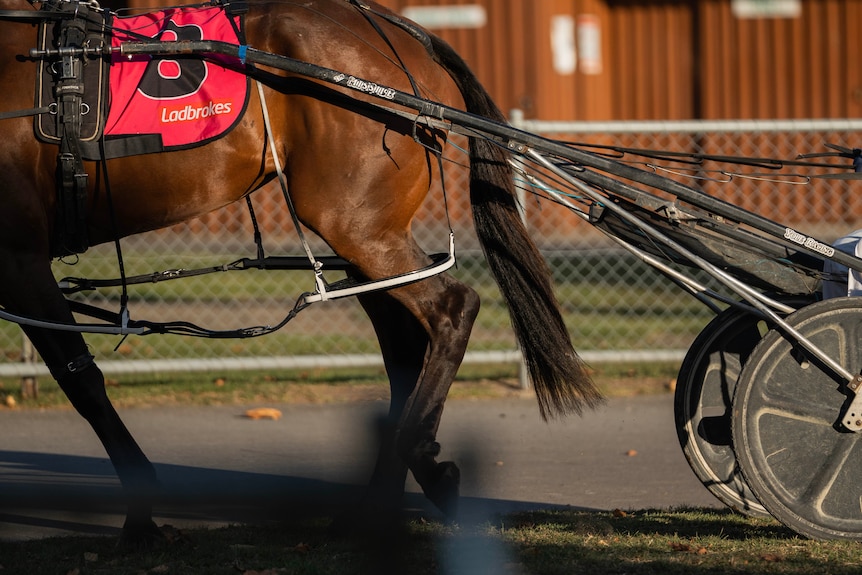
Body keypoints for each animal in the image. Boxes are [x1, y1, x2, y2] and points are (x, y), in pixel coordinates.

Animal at [0, 0, 604, 544]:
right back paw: (384, 502)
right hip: (365, 237)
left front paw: (142, 519)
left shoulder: (20, 257)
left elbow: (83, 383)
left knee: (453, 309)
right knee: (406, 348)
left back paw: (410, 473)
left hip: (354, 221)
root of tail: (393, 27)